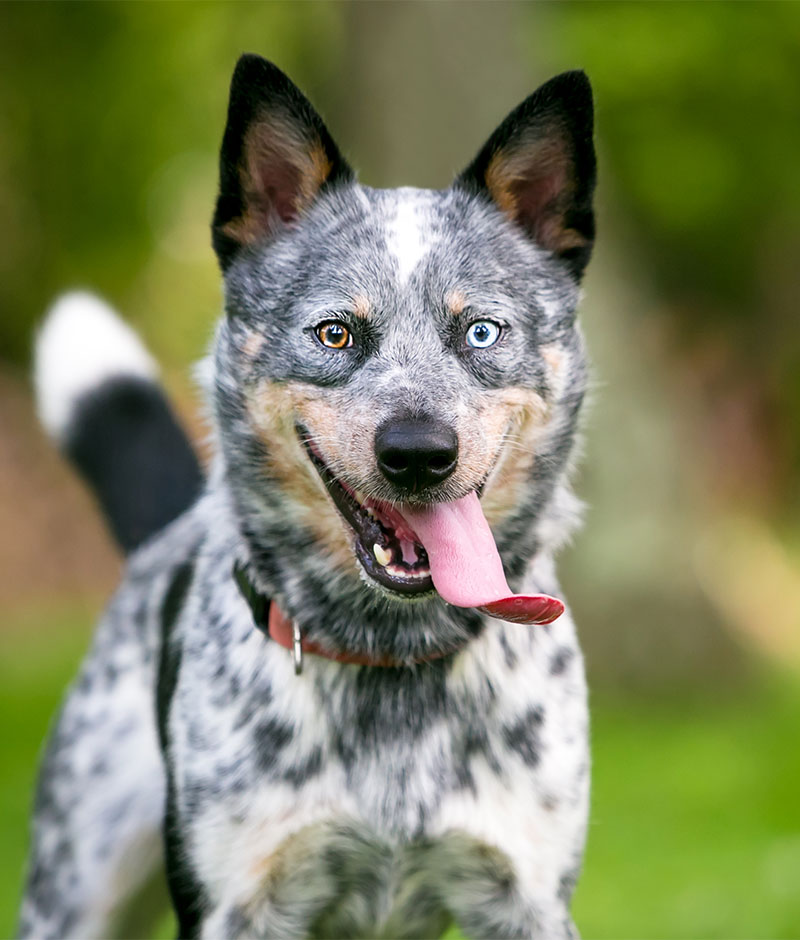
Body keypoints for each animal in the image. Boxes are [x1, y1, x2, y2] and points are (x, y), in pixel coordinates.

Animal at [18, 57, 596, 940]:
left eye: (480, 332)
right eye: (334, 333)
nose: (418, 453)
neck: (392, 655)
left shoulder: (527, 901)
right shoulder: (234, 904)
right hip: (73, 884)